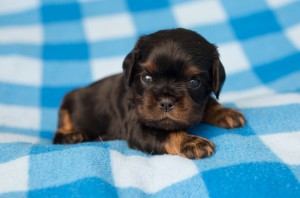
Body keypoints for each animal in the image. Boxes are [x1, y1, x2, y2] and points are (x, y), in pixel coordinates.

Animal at [54, 28, 246, 159]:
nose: (166, 102)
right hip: (67, 103)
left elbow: (209, 103)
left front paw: (226, 112)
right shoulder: (138, 129)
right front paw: (192, 141)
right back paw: (72, 137)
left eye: (194, 82)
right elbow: (166, 134)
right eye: (146, 78)